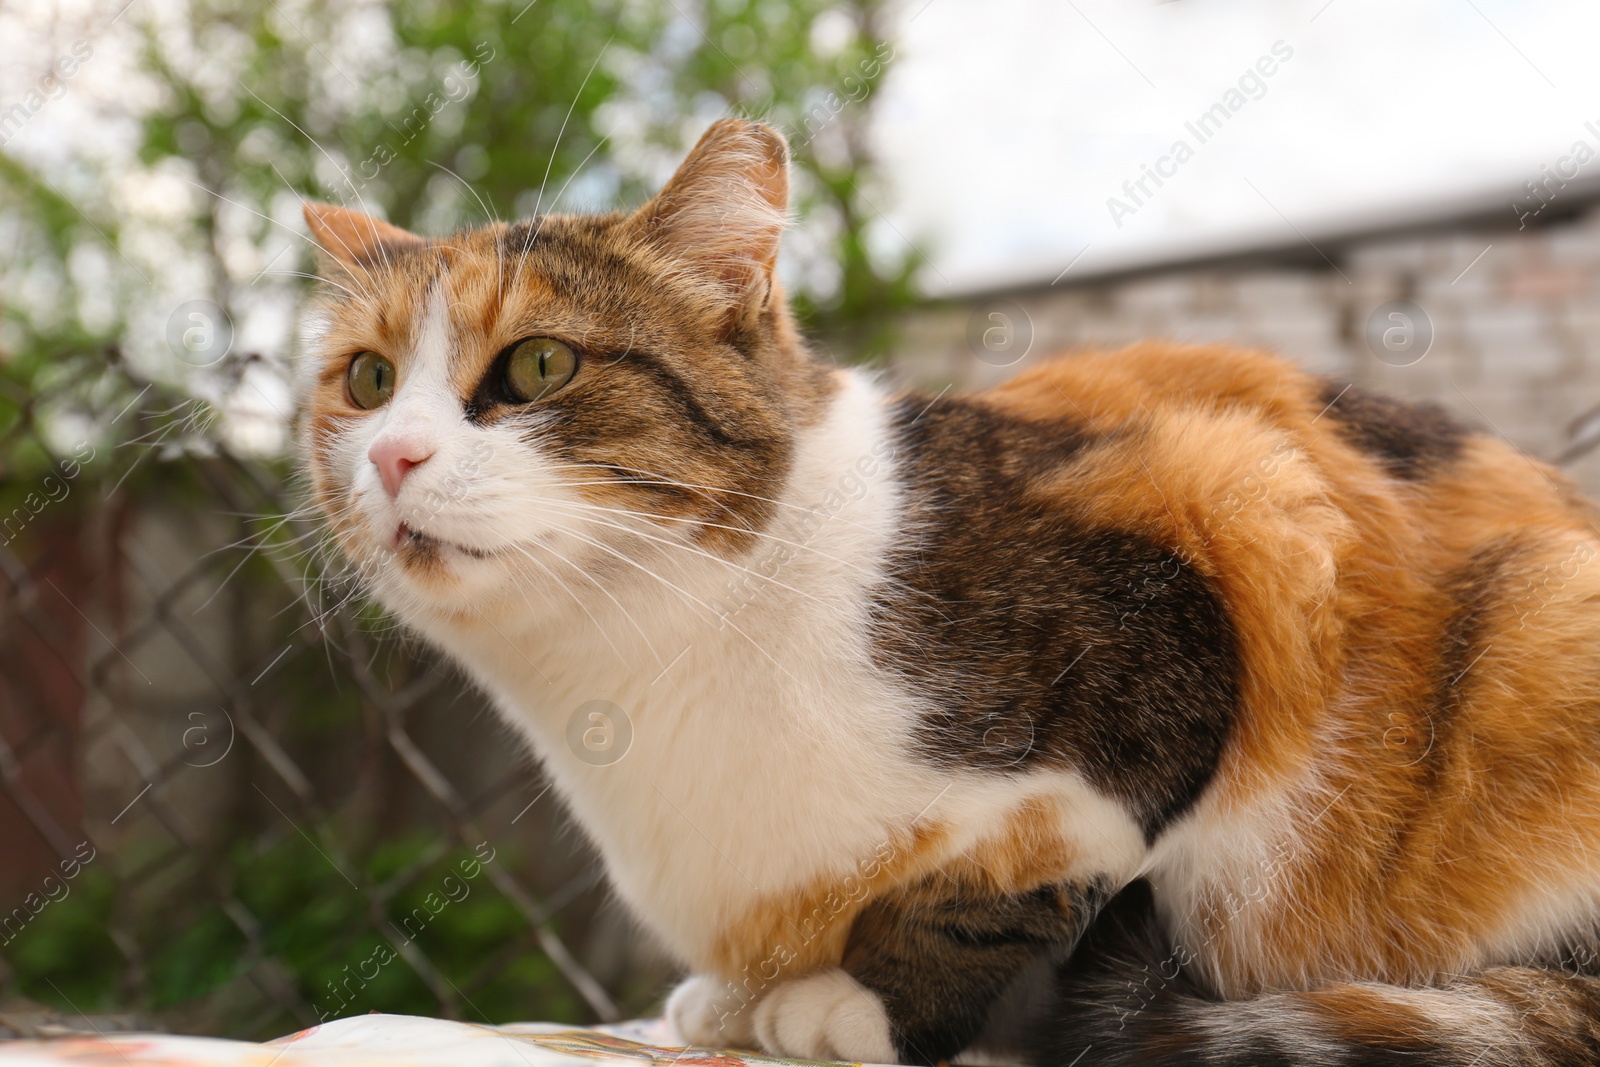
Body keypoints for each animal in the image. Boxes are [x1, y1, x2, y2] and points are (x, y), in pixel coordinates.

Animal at [302, 119, 1600, 1067]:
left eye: (538, 364)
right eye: (366, 380)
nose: (394, 455)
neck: (648, 660)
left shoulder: (1234, 530)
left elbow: (1005, 884)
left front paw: (857, 1006)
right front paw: (734, 997)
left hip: (1536, 617)